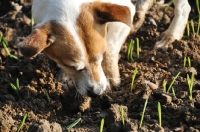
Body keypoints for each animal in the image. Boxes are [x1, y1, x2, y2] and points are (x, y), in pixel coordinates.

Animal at [18, 0, 191, 97]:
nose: (96, 94)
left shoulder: (124, 12)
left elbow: (110, 47)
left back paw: (171, 35)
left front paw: (111, 76)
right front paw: (65, 76)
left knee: (184, 7)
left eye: (99, 58)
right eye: (71, 66)